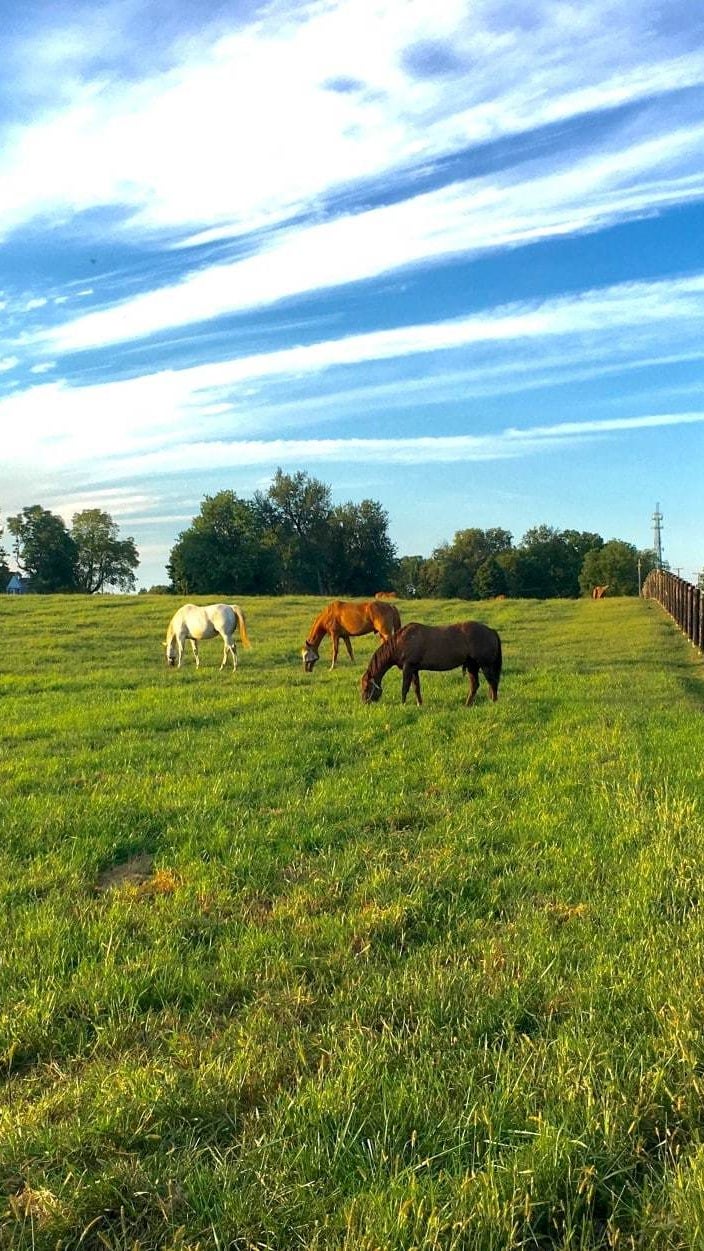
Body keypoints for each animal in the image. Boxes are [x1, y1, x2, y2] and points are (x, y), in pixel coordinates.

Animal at [361, 621, 502, 707]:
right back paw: (467, 705)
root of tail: (491, 631)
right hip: (472, 666)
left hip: (485, 665)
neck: (401, 642)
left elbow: (405, 687)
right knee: (475, 685)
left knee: (492, 682)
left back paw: (494, 702)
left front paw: (403, 704)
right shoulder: (414, 669)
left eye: (366, 687)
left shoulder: (408, 667)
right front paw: (419, 704)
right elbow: (416, 687)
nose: (364, 702)